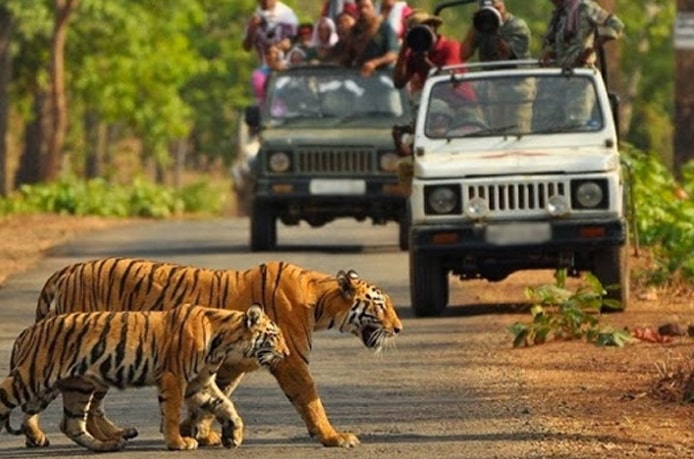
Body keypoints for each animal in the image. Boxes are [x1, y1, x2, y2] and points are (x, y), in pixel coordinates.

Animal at [0, 304, 288, 452]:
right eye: (274, 336)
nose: (286, 354)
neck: (224, 343)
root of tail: (27, 331)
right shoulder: (174, 378)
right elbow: (171, 413)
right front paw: (178, 443)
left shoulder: (200, 383)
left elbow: (226, 405)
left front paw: (233, 435)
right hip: (30, 378)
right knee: (6, 398)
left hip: (73, 387)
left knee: (70, 424)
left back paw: (107, 445)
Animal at [31, 258, 402, 450]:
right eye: (380, 305)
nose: (399, 328)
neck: (320, 302)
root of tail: (61, 272)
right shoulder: (290, 361)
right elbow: (310, 400)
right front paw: (333, 437)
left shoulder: (228, 365)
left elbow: (213, 398)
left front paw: (197, 431)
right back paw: (54, 437)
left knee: (89, 406)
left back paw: (113, 436)